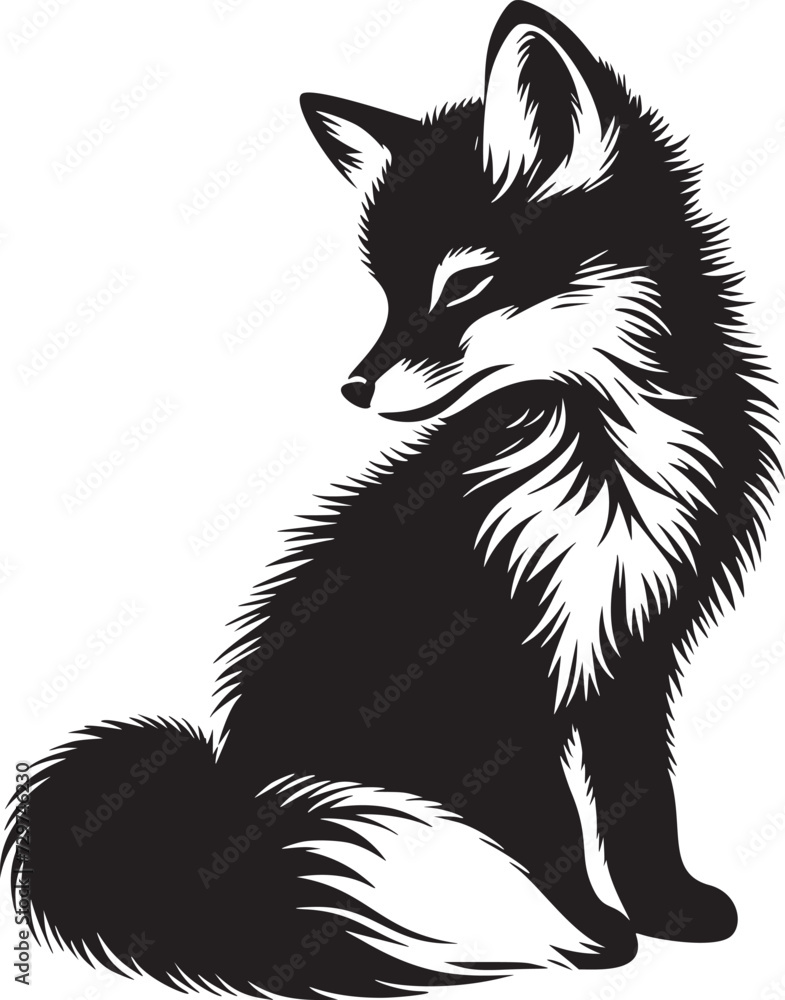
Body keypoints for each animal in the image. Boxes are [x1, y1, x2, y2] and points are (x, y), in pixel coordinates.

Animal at [6, 2, 779, 997]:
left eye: (463, 282)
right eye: (385, 291)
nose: (353, 388)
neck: (601, 459)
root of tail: (222, 817)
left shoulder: (633, 652)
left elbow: (640, 811)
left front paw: (669, 914)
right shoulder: (491, 681)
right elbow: (551, 835)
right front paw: (591, 937)